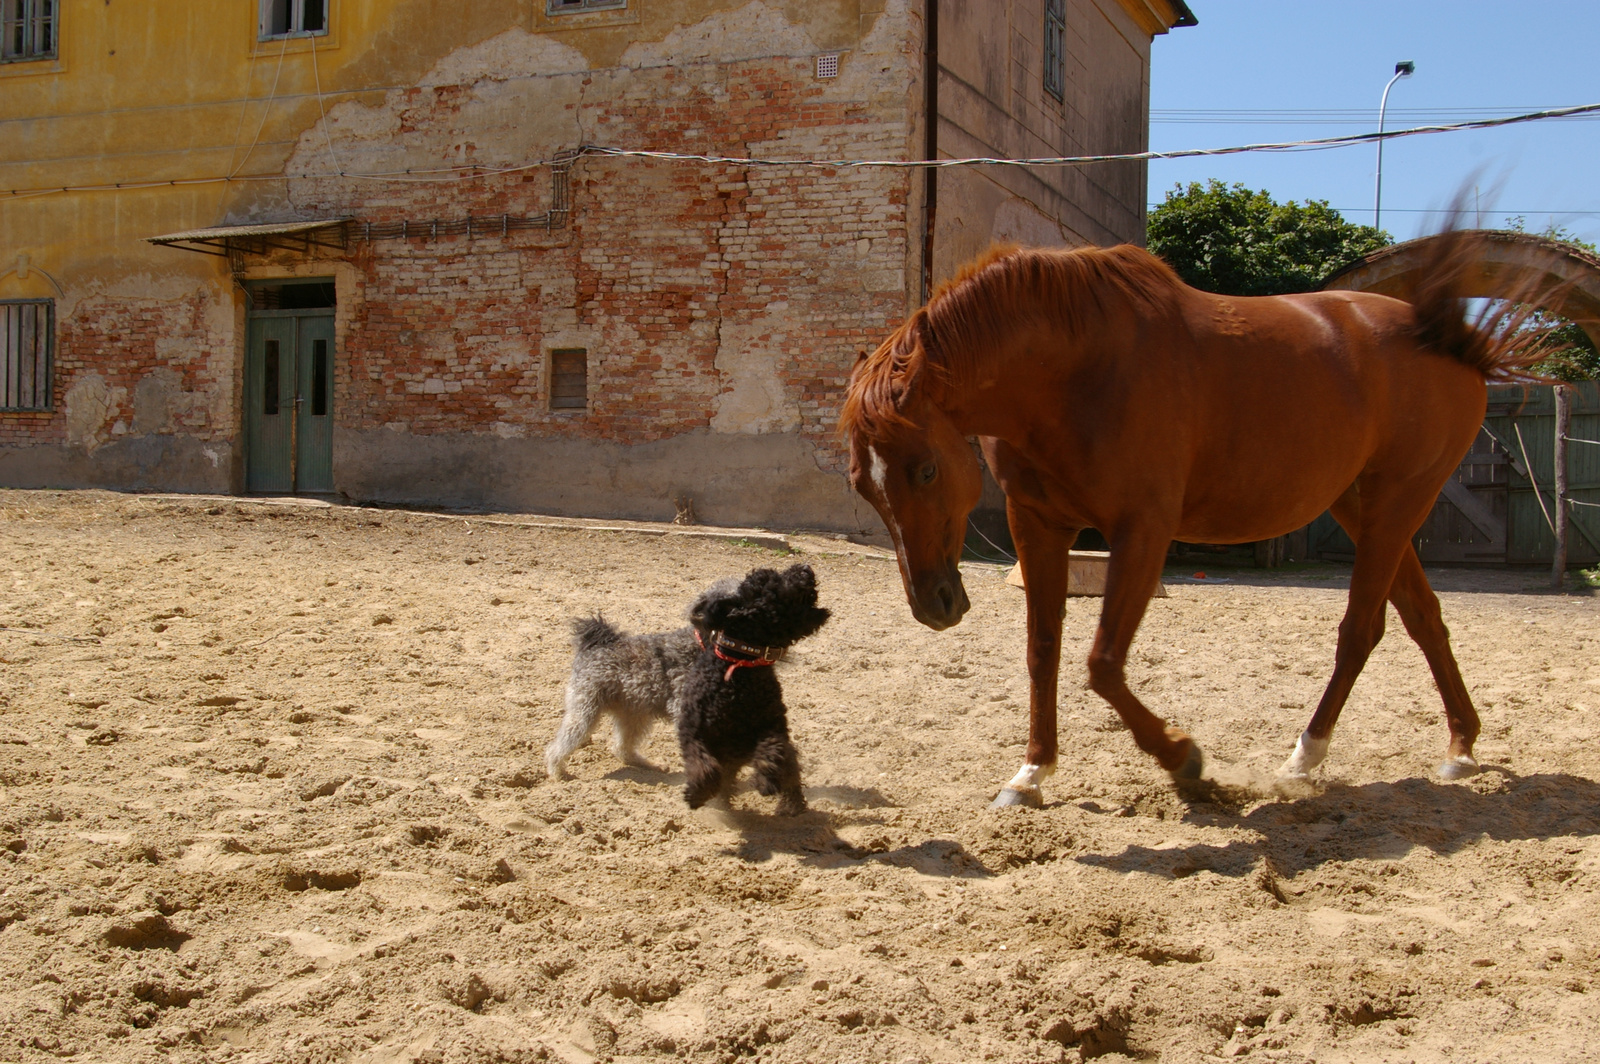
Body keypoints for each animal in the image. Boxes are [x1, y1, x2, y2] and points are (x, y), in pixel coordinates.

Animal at [544, 611, 700, 777]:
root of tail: (599, 643)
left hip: (634, 715)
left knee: (622, 749)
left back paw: (649, 764)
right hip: (585, 711)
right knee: (557, 747)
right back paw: (557, 772)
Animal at [675, 563, 832, 812]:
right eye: (775, 582)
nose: (805, 567)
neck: (739, 666)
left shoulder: (773, 726)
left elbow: (771, 752)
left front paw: (766, 781)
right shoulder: (692, 730)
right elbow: (703, 765)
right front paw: (697, 794)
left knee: (791, 773)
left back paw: (791, 806)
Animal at [844, 232, 1542, 806]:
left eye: (925, 471)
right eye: (862, 486)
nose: (934, 604)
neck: (1074, 366)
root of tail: (1459, 345)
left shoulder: (1143, 530)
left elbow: (1102, 663)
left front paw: (1183, 758)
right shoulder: (1036, 525)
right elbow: (1043, 650)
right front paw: (1032, 772)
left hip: (1400, 500)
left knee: (1361, 630)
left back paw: (1304, 759)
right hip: (1362, 505)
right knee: (1423, 618)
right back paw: (1460, 748)